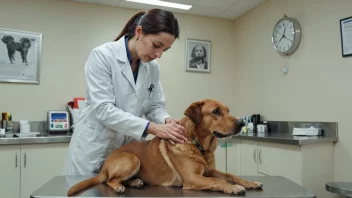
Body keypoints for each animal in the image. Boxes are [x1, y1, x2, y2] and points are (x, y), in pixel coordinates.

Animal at [67, 100, 262, 196]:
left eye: (228, 110)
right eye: (216, 111)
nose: (241, 123)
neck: (198, 145)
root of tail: (104, 165)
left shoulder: (209, 171)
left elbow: (231, 175)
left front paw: (250, 183)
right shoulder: (192, 178)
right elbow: (218, 181)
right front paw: (233, 188)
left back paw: (135, 182)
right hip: (132, 159)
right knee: (110, 180)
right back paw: (119, 187)